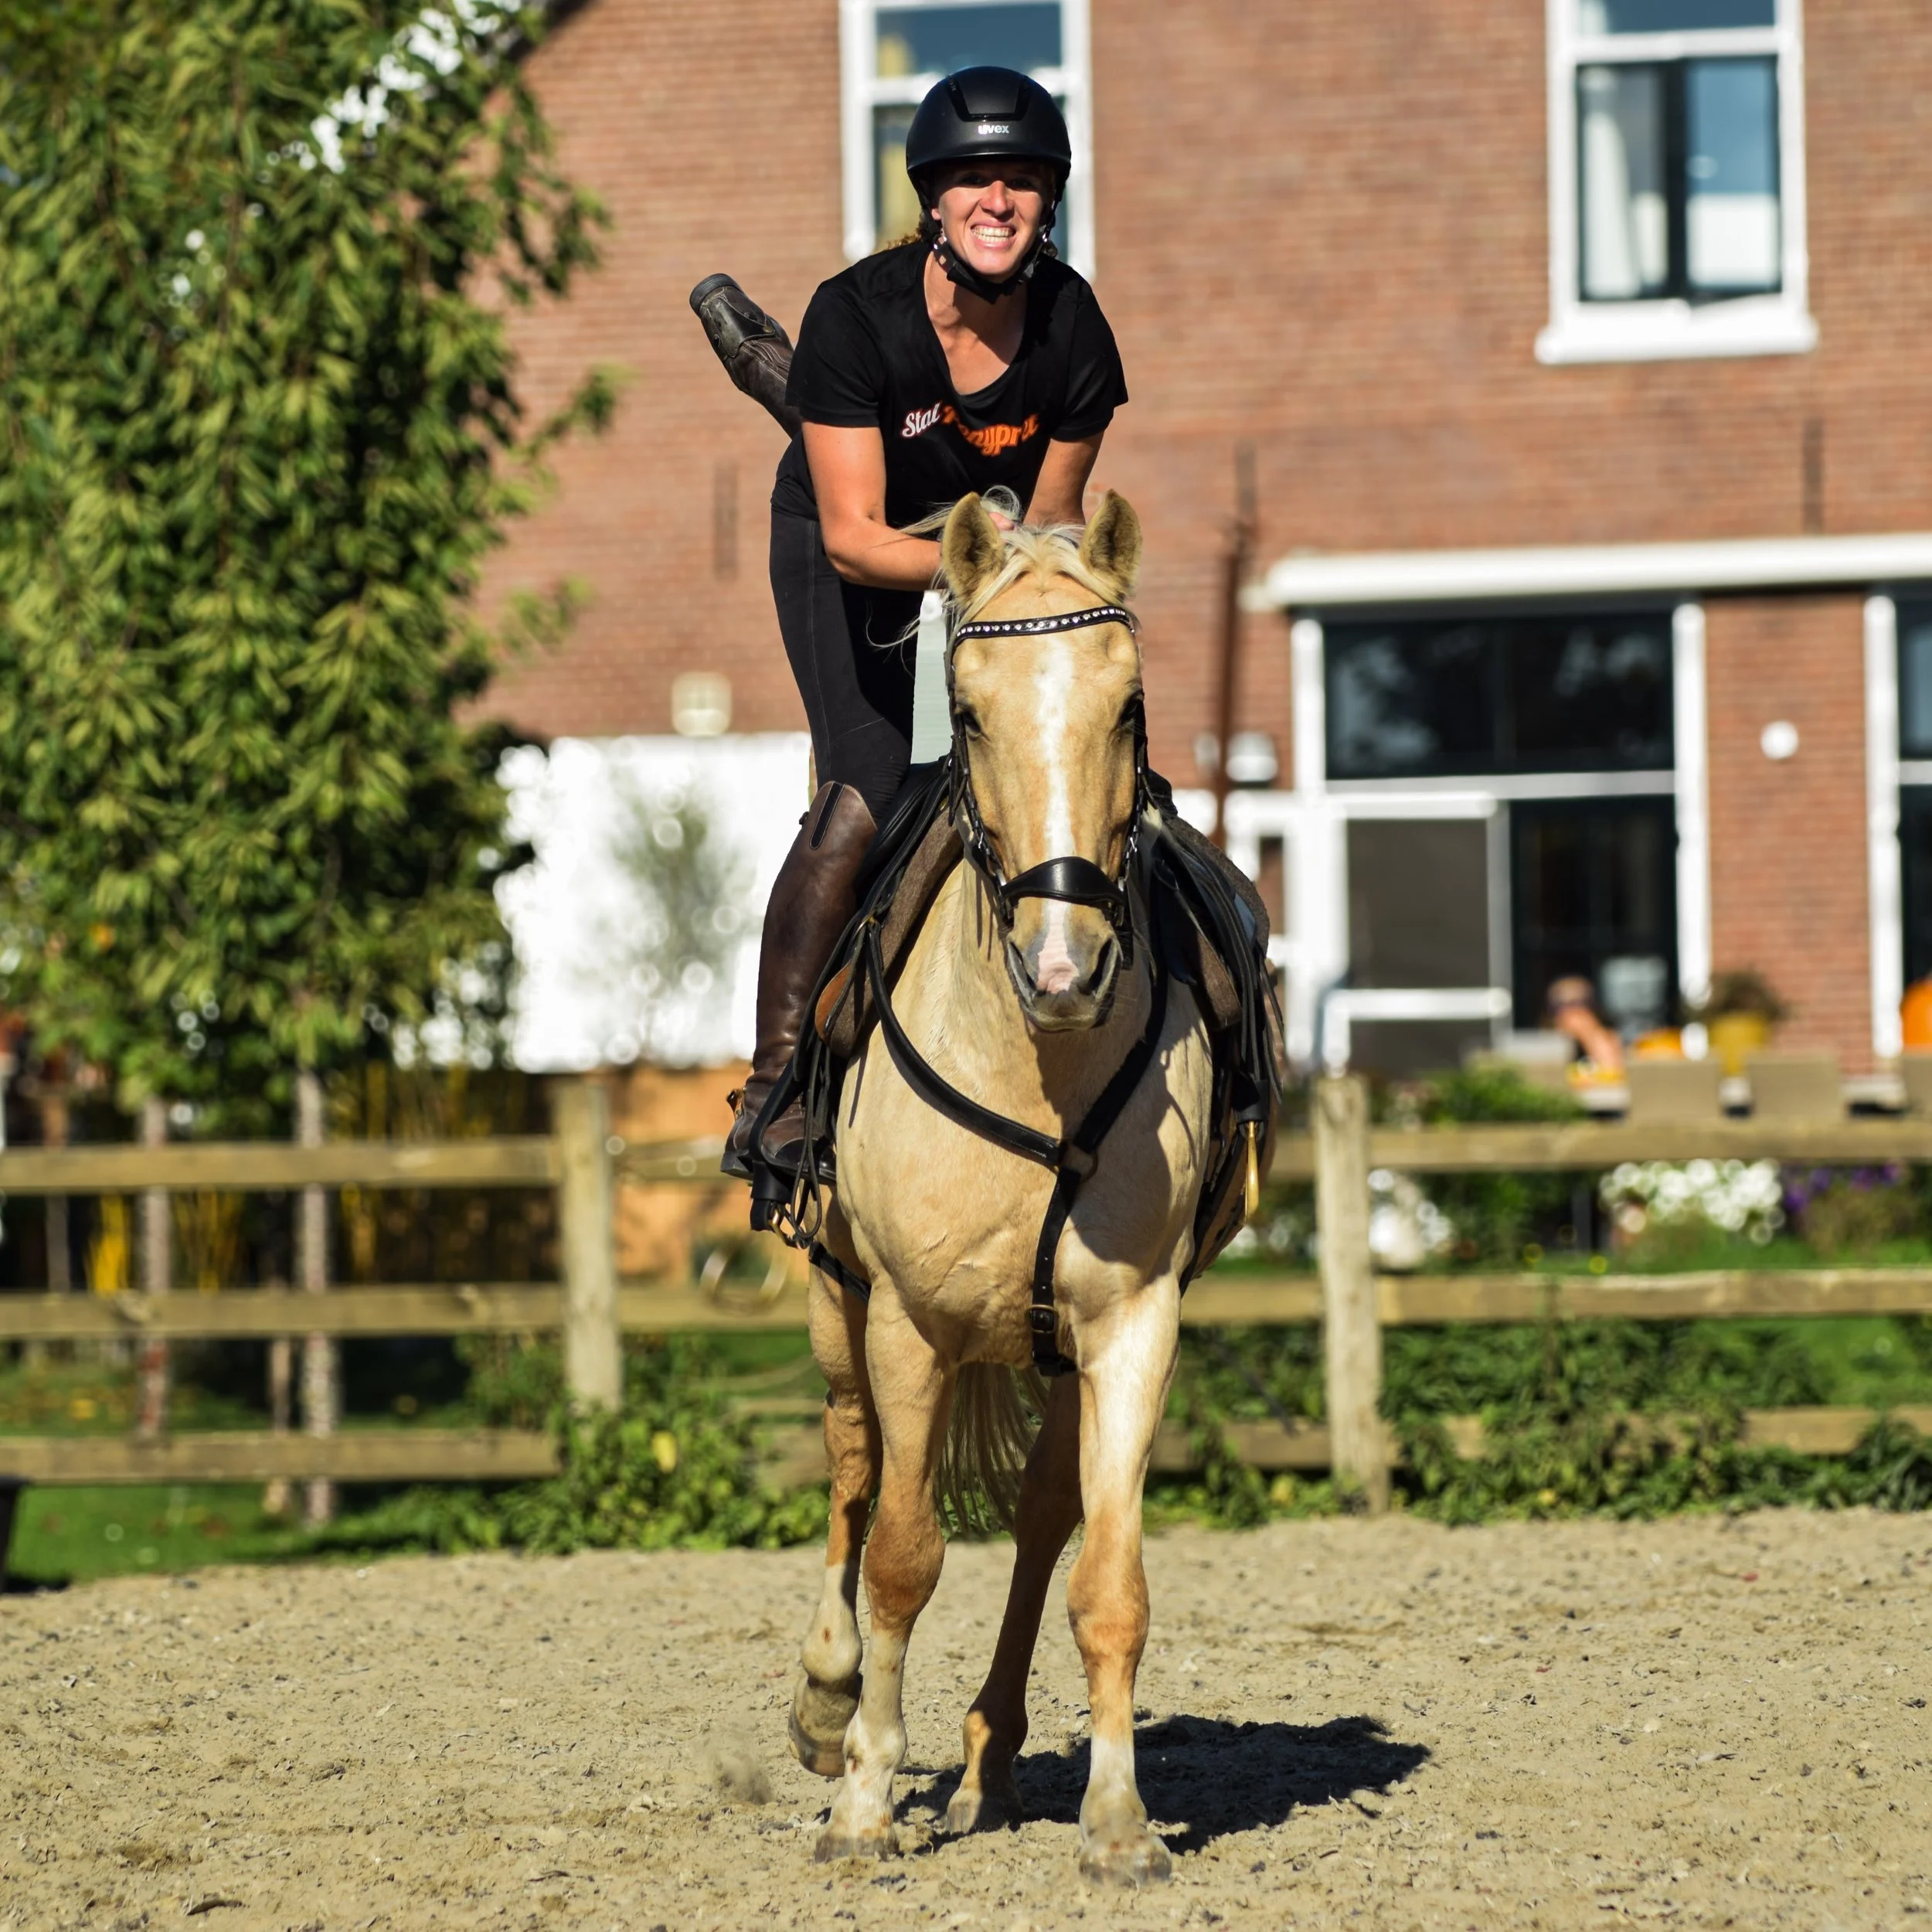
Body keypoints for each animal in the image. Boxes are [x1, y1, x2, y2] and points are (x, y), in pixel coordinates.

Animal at [786, 489, 1223, 1887]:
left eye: (1130, 706)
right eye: (968, 714)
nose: (1065, 963)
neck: (1041, 1061)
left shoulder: (1133, 1323)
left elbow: (1110, 1578)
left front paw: (1120, 1821)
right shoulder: (906, 1320)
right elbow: (904, 1555)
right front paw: (865, 1804)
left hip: (1053, 1345)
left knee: (1041, 1517)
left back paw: (989, 1759)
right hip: (837, 1299)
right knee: (854, 1467)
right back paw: (828, 1705)